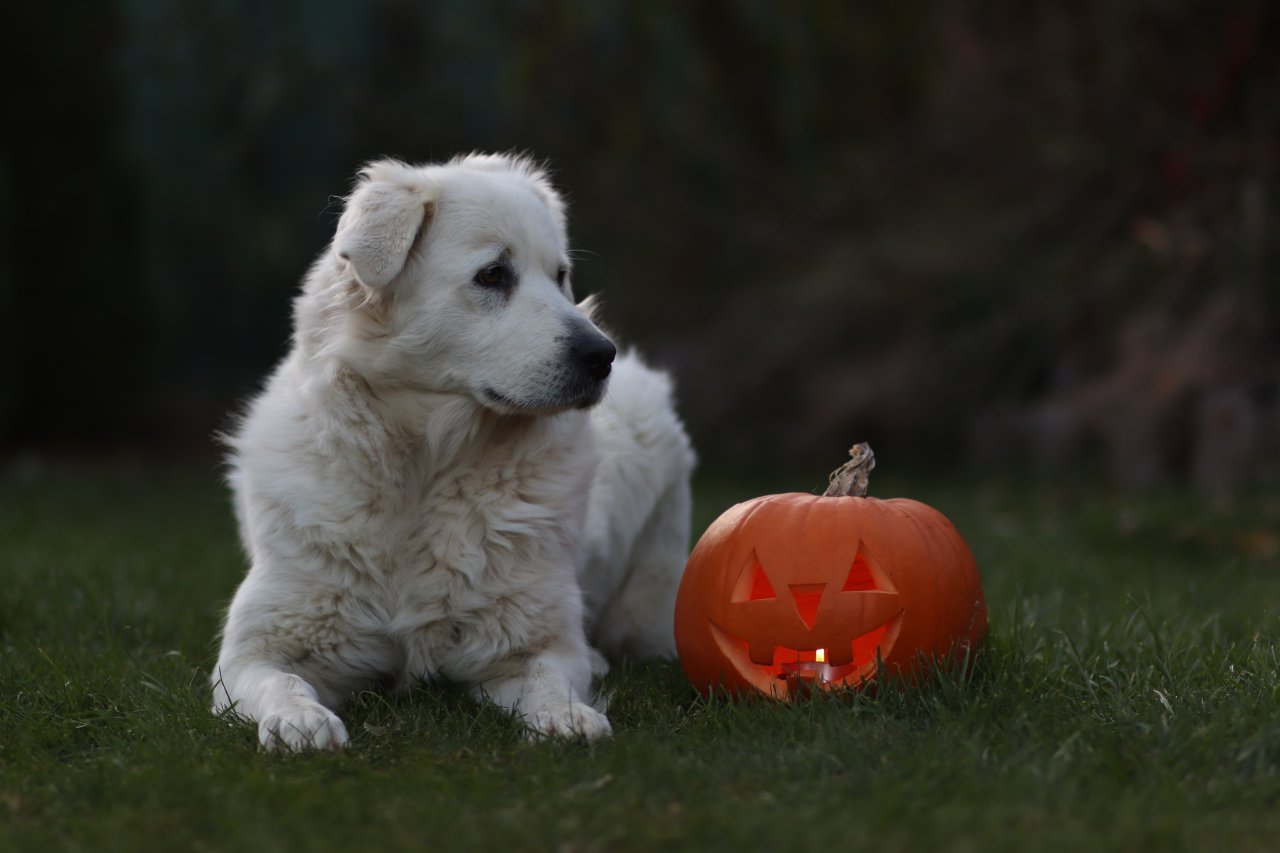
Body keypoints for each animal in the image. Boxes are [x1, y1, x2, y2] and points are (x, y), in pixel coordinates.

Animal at [212, 153, 691, 742]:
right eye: (493, 275)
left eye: (559, 276)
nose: (603, 355)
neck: (424, 465)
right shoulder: (256, 649)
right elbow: (282, 682)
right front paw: (300, 720)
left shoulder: (528, 642)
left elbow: (550, 678)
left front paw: (566, 717)